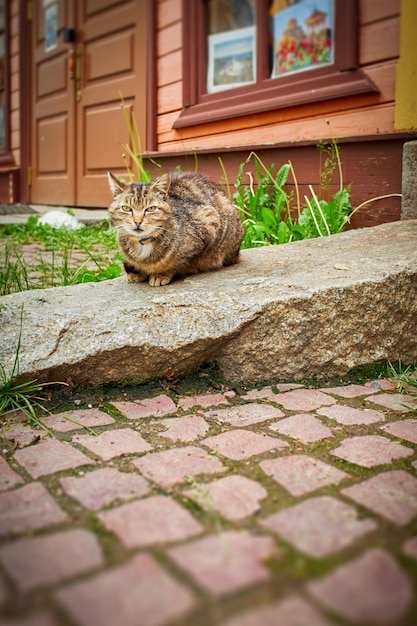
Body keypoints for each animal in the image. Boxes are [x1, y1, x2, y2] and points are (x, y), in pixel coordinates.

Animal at [107, 172, 244, 286]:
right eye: (126, 208)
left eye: (151, 208)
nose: (137, 221)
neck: (143, 243)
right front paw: (137, 272)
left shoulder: (208, 221)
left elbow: (180, 262)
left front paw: (161, 274)